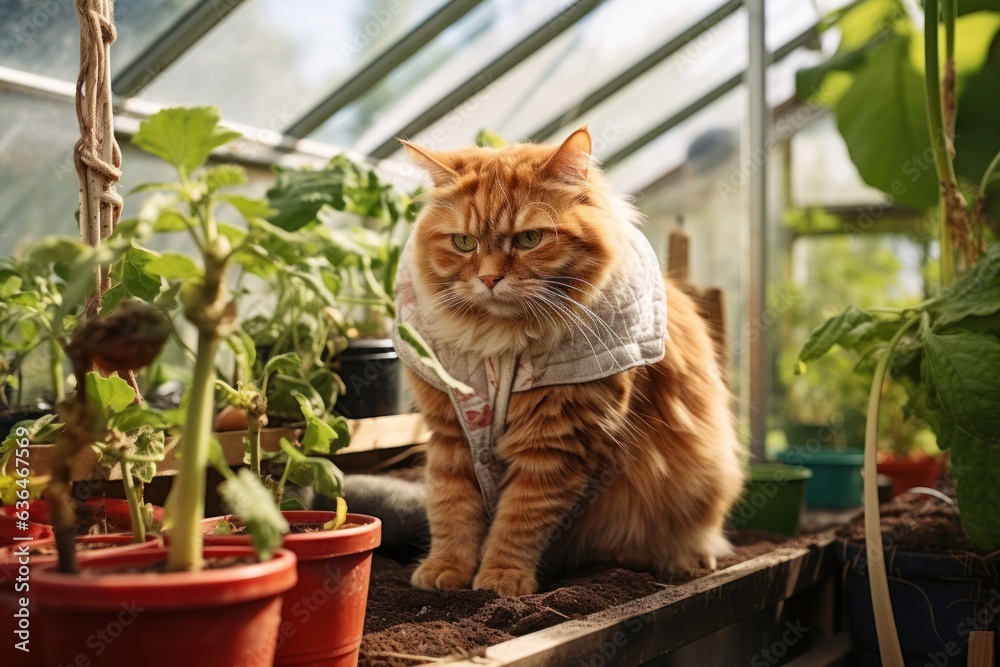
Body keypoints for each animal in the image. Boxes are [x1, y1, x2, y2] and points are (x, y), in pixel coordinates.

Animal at [394, 128, 748, 596]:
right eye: (464, 243)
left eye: (529, 239)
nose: (488, 279)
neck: (501, 344)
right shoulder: (453, 430)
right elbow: (452, 508)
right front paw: (445, 570)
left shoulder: (555, 442)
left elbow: (520, 519)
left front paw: (500, 579)